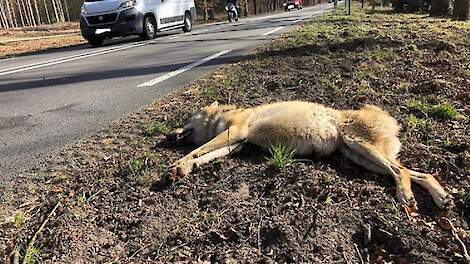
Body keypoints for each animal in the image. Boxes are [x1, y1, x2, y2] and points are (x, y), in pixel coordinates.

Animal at [167, 101, 454, 210]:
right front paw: (185, 168)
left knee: (401, 171)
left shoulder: (235, 133)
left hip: (360, 147)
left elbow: (196, 150)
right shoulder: (234, 144)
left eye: (186, 119)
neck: (225, 117)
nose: (168, 135)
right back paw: (441, 197)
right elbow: (202, 156)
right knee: (420, 173)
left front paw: (178, 163)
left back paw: (405, 196)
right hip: (361, 157)